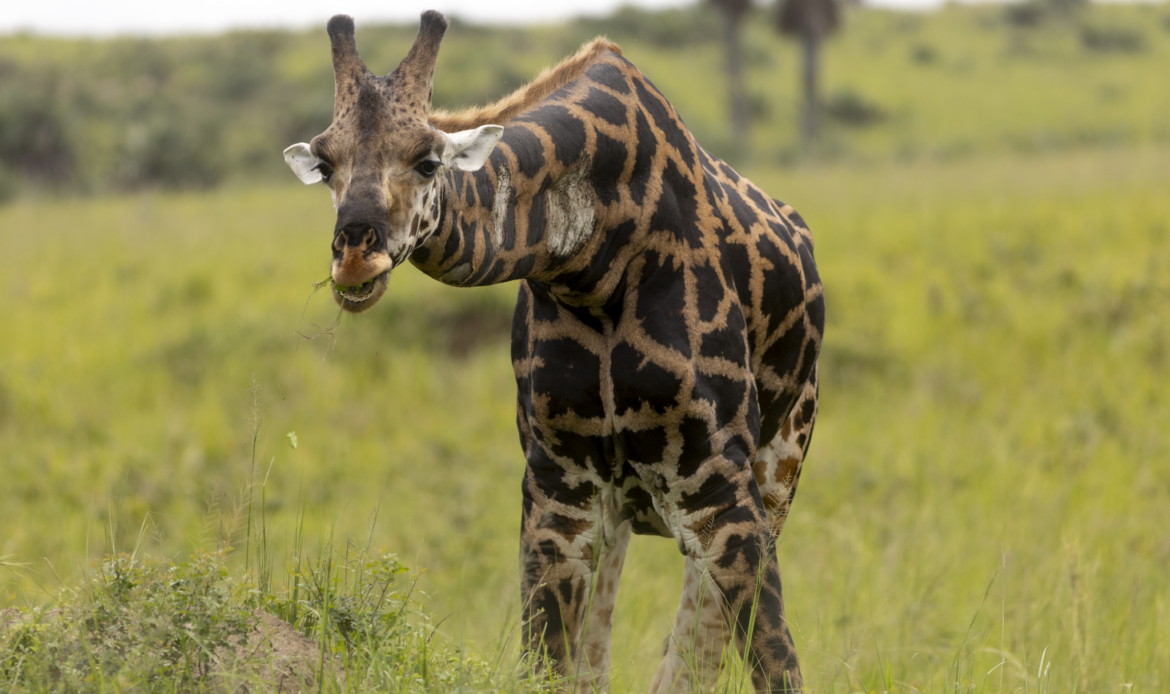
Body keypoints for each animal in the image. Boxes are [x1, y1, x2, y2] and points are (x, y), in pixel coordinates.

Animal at [283, 12, 823, 693]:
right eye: (327, 165)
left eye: (429, 161)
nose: (355, 255)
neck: (592, 263)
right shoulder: (558, 484)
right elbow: (551, 662)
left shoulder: (718, 481)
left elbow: (774, 655)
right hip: (623, 504)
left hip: (778, 464)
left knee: (699, 639)